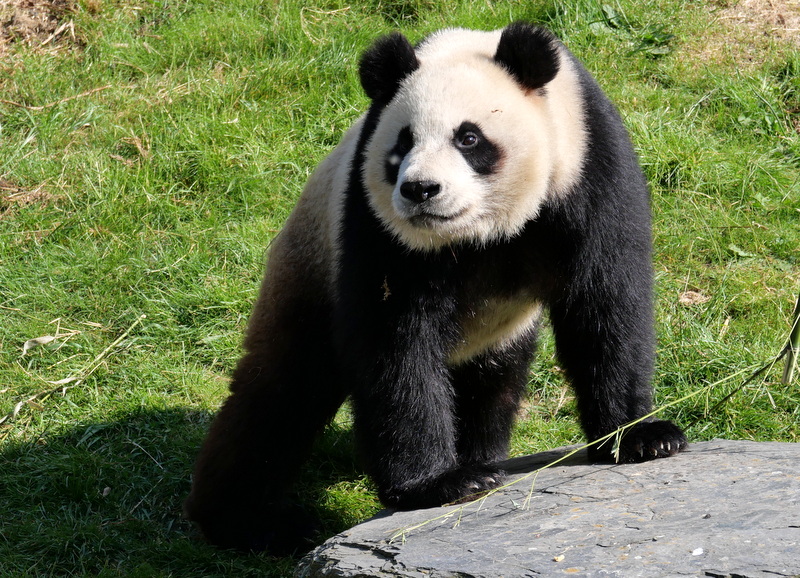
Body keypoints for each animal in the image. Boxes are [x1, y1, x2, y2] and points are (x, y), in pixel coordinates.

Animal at [184, 22, 688, 554]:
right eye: (402, 143)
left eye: (468, 137)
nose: (421, 190)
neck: (480, 233)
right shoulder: (377, 221)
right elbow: (396, 336)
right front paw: (436, 484)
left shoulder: (587, 170)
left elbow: (604, 305)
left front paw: (642, 438)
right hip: (310, 266)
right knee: (281, 392)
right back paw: (252, 521)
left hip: (495, 332)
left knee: (491, 383)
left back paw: (482, 458)